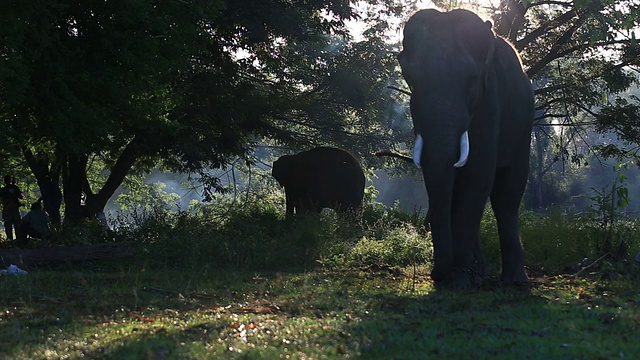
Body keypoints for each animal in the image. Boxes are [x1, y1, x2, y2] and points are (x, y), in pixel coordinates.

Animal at [400, 8, 536, 288]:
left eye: (472, 79)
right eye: (410, 77)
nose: (436, 275)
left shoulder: (490, 98)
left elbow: (478, 172)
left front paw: (461, 281)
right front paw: (460, 277)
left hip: (524, 124)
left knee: (508, 193)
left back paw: (515, 281)